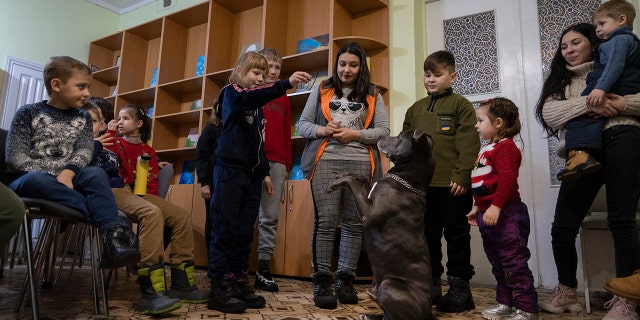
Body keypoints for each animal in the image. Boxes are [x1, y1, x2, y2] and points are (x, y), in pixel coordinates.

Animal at [324, 129, 436, 318]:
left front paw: (335, 183)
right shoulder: (369, 194)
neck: (408, 183)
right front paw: (344, 173)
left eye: (399, 137)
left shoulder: (368, 214)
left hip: (388, 285)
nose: (381, 136)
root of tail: (428, 311)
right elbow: (360, 177)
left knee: (392, 316)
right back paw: (369, 314)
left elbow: (353, 183)